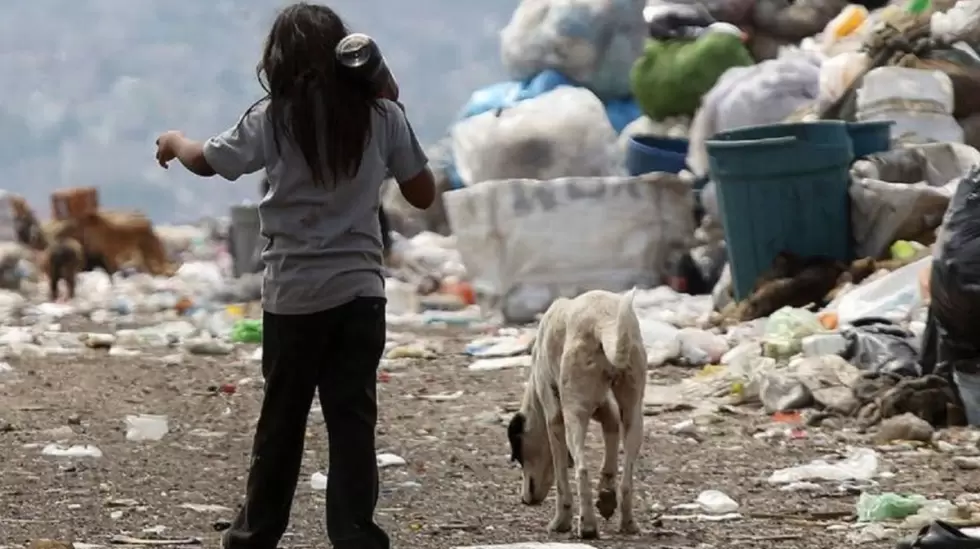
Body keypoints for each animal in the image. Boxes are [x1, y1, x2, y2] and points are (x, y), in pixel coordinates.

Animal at [510, 288, 648, 536]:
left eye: (518, 456)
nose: (524, 500)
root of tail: (603, 321)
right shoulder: (605, 410)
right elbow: (610, 442)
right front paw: (606, 496)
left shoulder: (555, 419)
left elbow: (561, 477)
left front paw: (560, 521)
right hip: (633, 412)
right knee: (627, 479)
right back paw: (627, 522)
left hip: (574, 414)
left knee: (582, 470)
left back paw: (588, 525)